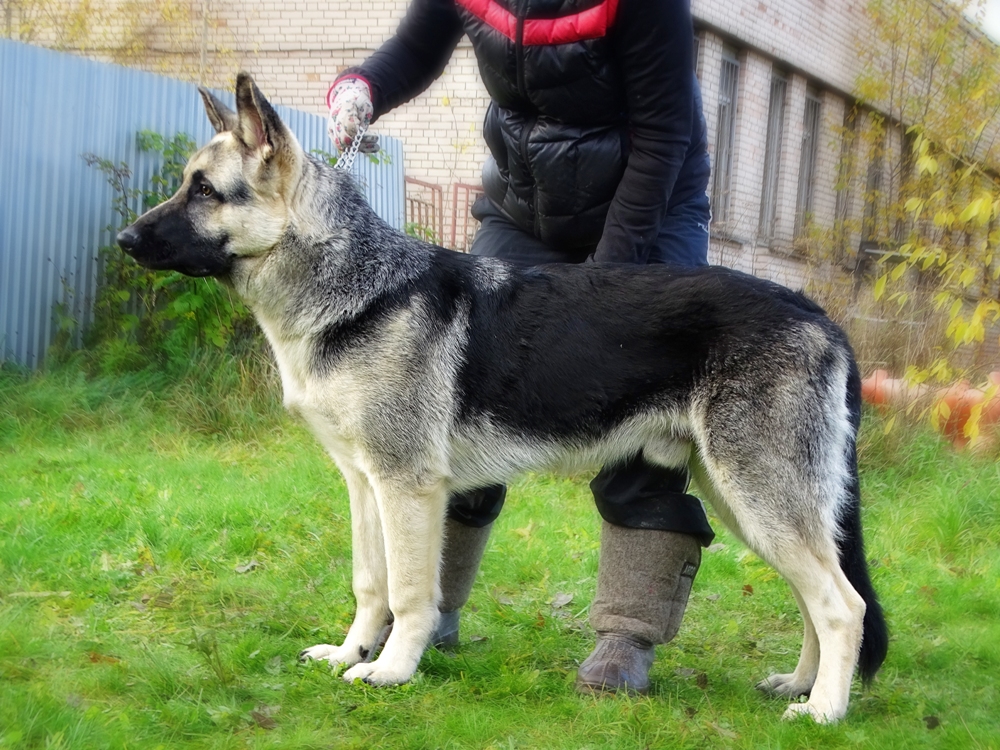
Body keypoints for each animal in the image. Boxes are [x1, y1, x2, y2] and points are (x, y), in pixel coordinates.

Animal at [117, 73, 892, 724]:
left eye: (205, 191)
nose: (124, 238)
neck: (357, 289)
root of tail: (821, 316)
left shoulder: (406, 488)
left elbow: (410, 593)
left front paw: (392, 672)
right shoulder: (364, 486)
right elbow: (370, 584)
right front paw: (349, 654)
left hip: (759, 501)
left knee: (843, 604)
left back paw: (824, 711)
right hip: (750, 507)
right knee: (816, 599)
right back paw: (800, 685)